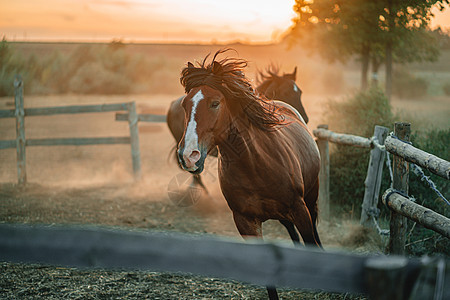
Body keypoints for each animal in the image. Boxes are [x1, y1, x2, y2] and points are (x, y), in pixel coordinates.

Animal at [178, 50, 322, 298]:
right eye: (185, 105)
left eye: (215, 103)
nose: (188, 154)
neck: (255, 165)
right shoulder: (245, 222)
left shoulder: (299, 208)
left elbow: (310, 239)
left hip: (311, 198)